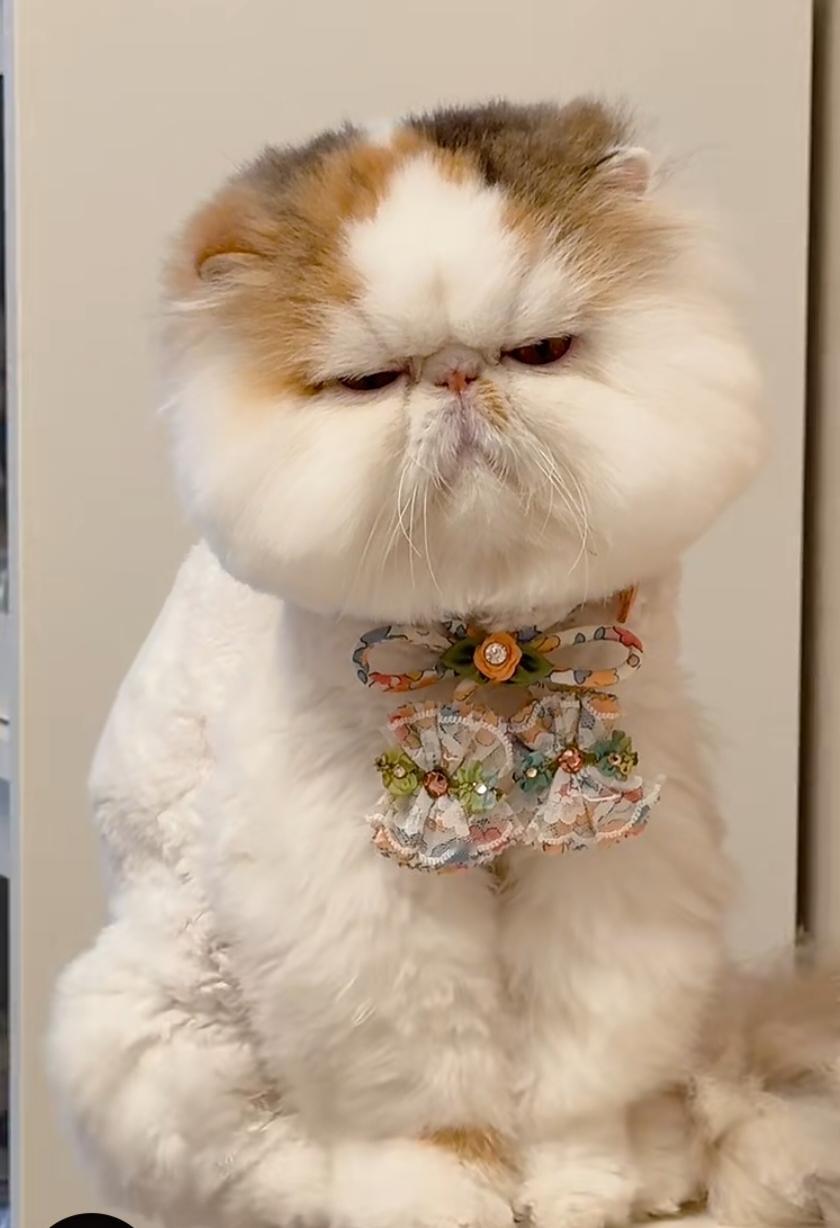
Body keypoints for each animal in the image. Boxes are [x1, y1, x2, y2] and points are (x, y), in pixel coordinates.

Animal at [49, 100, 840, 1228]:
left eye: (540, 350)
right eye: (370, 382)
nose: (461, 378)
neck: (489, 651)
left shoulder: (610, 872)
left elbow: (578, 1084)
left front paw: (581, 1187)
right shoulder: (369, 903)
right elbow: (429, 1106)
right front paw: (441, 1197)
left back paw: (657, 1165)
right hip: (162, 1016)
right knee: (248, 1157)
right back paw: (323, 1187)